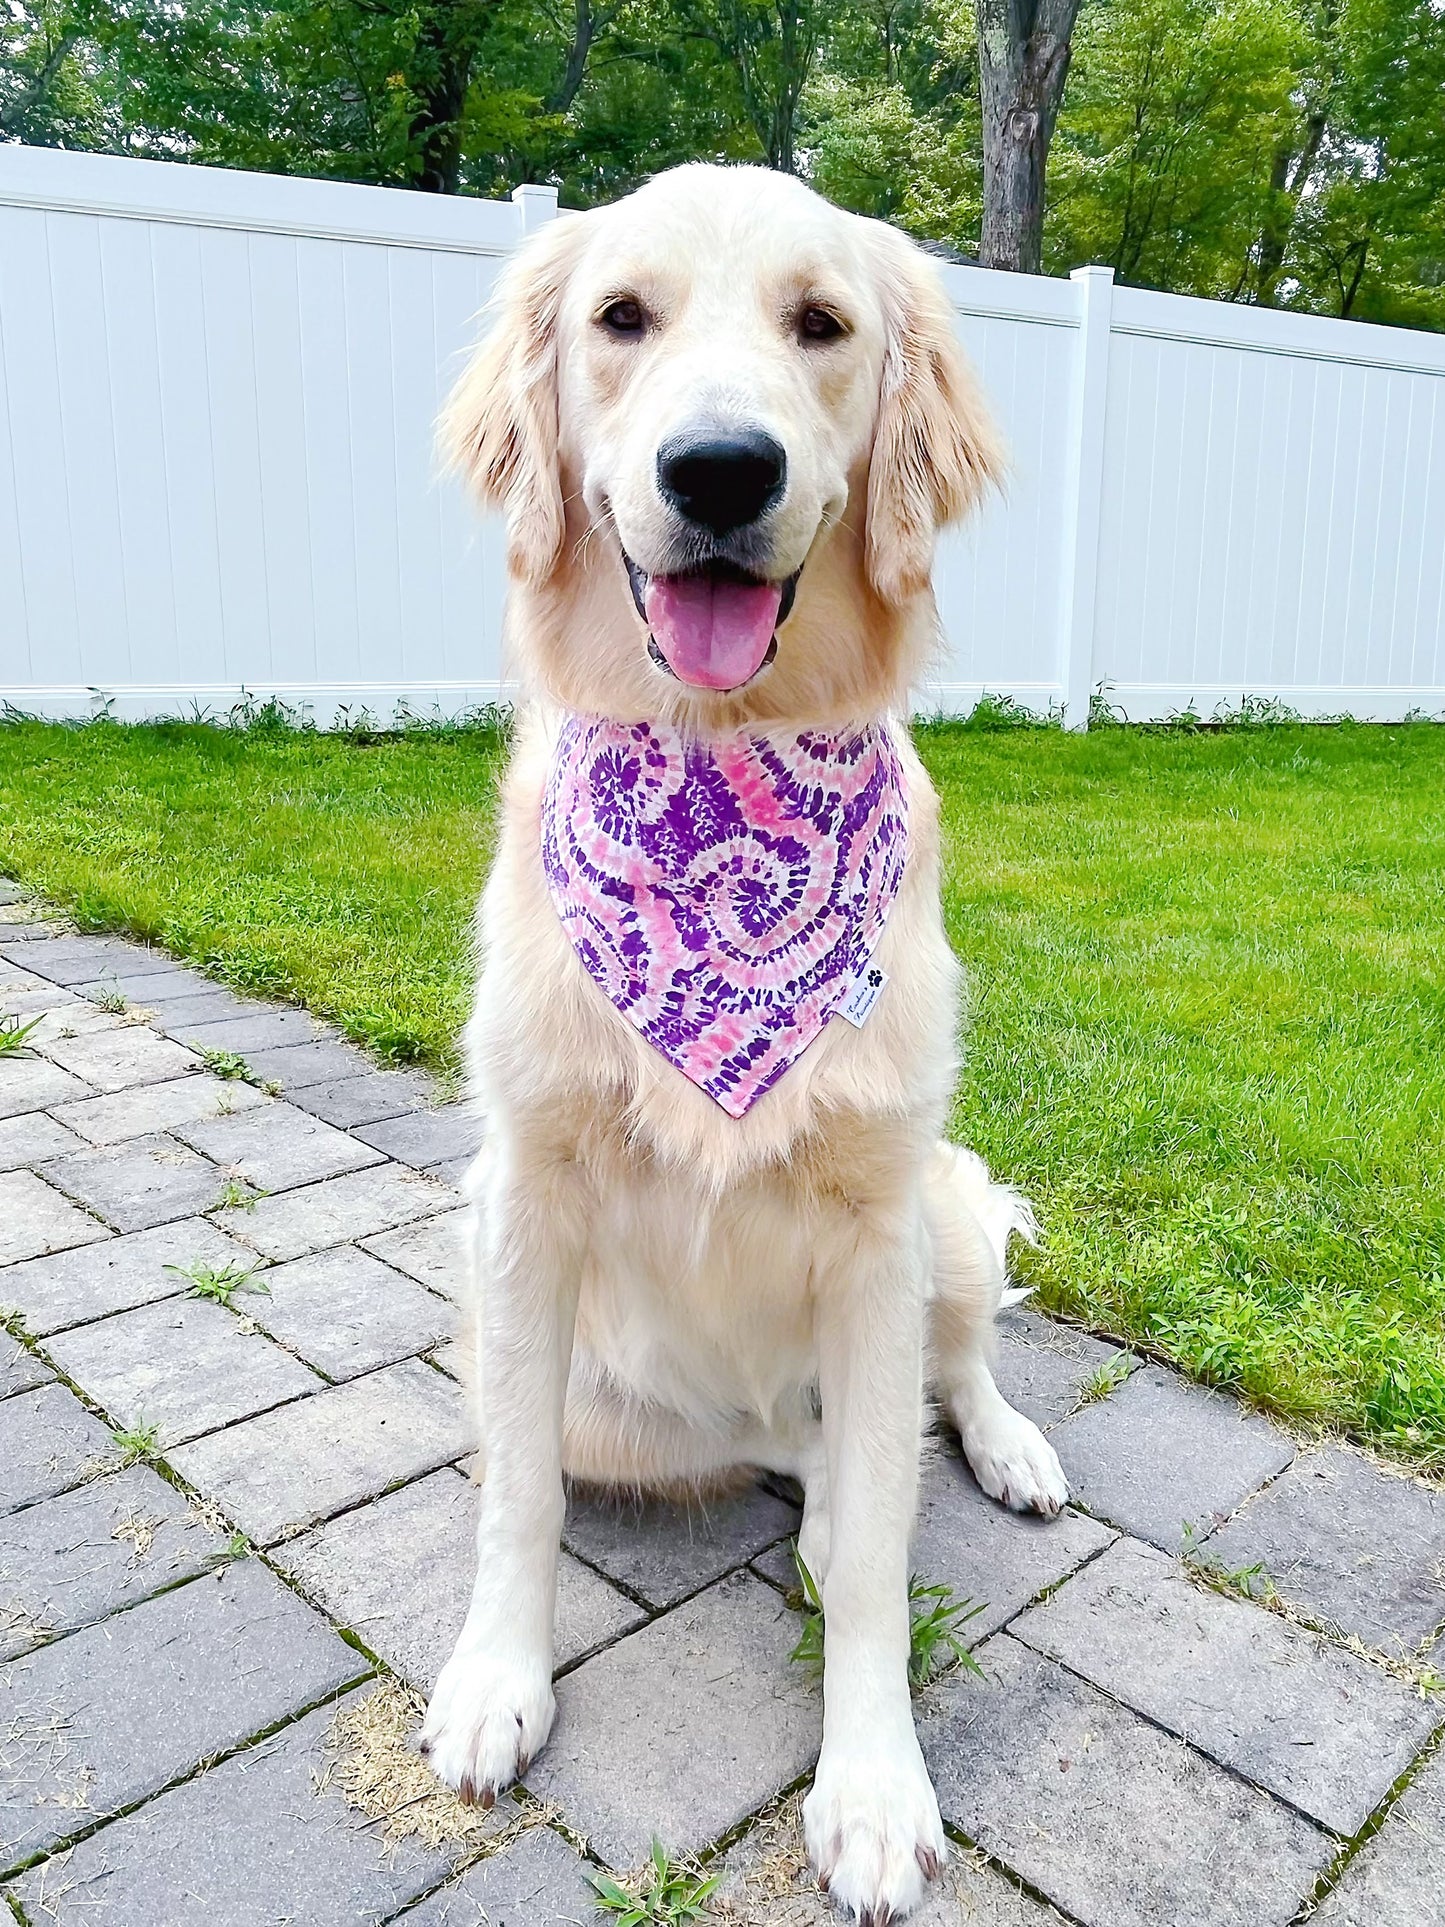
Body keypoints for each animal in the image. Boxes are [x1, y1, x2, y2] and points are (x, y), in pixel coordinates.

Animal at [423, 165, 1071, 1927]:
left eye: (821, 324)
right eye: (620, 318)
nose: (720, 468)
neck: (721, 784)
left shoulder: (873, 1220)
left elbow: (882, 1564)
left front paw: (872, 1785)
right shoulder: (520, 1200)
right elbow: (516, 1490)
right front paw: (496, 1677)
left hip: (943, 1206)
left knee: (936, 1385)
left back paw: (1003, 1447)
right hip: (616, 1389)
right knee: (801, 1450)